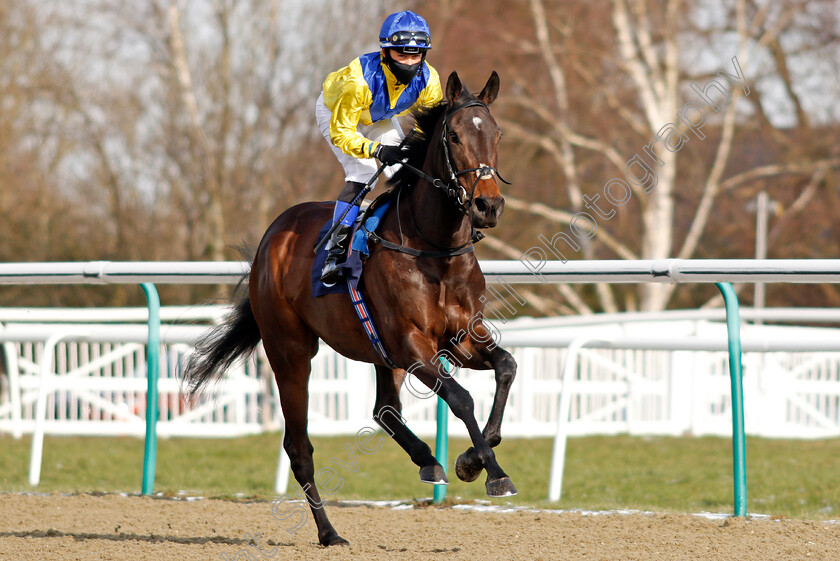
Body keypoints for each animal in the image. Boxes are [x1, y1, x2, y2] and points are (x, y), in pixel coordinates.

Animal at [184, 69, 516, 544]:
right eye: (453, 135)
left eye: (496, 133)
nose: (488, 205)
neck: (436, 251)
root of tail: (273, 237)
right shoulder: (413, 344)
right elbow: (462, 398)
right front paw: (493, 472)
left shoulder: (462, 337)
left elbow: (506, 367)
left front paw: (472, 459)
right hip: (290, 352)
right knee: (299, 447)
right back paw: (329, 532)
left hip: (380, 353)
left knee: (383, 410)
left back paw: (426, 460)